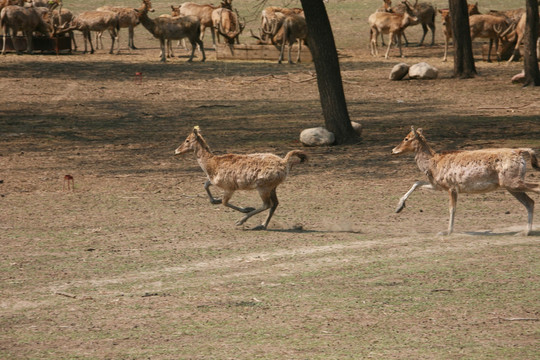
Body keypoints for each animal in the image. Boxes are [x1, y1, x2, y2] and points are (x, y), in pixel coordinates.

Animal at [174, 126, 308, 231]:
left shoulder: (229, 187)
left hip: (263, 186)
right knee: (275, 203)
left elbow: (224, 202)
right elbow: (206, 184)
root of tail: (285, 162)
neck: (211, 165)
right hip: (273, 186)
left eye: (187, 140)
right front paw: (215, 200)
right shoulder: (216, 181)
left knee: (267, 204)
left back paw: (242, 221)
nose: (176, 151)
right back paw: (262, 225)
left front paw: (246, 209)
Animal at [392, 126, 540, 236]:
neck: (433, 165)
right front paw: (399, 207)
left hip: (512, 181)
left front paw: (447, 231)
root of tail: (520, 152)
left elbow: (452, 209)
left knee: (536, 188)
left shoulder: (451, 186)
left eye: (406, 138)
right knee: (530, 202)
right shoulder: (438, 185)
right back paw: (525, 232)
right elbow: (416, 183)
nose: (393, 150)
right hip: (510, 185)